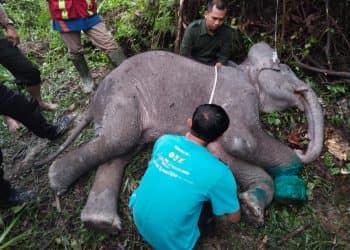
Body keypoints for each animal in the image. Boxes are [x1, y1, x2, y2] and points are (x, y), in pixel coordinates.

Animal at [42, 42, 324, 232]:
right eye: (282, 71)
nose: (301, 146)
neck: (244, 69)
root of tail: (92, 103)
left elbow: (223, 151)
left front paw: (251, 209)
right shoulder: (237, 96)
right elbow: (243, 142)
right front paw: (291, 177)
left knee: (120, 150)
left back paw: (100, 223)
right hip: (123, 97)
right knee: (118, 140)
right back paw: (57, 181)